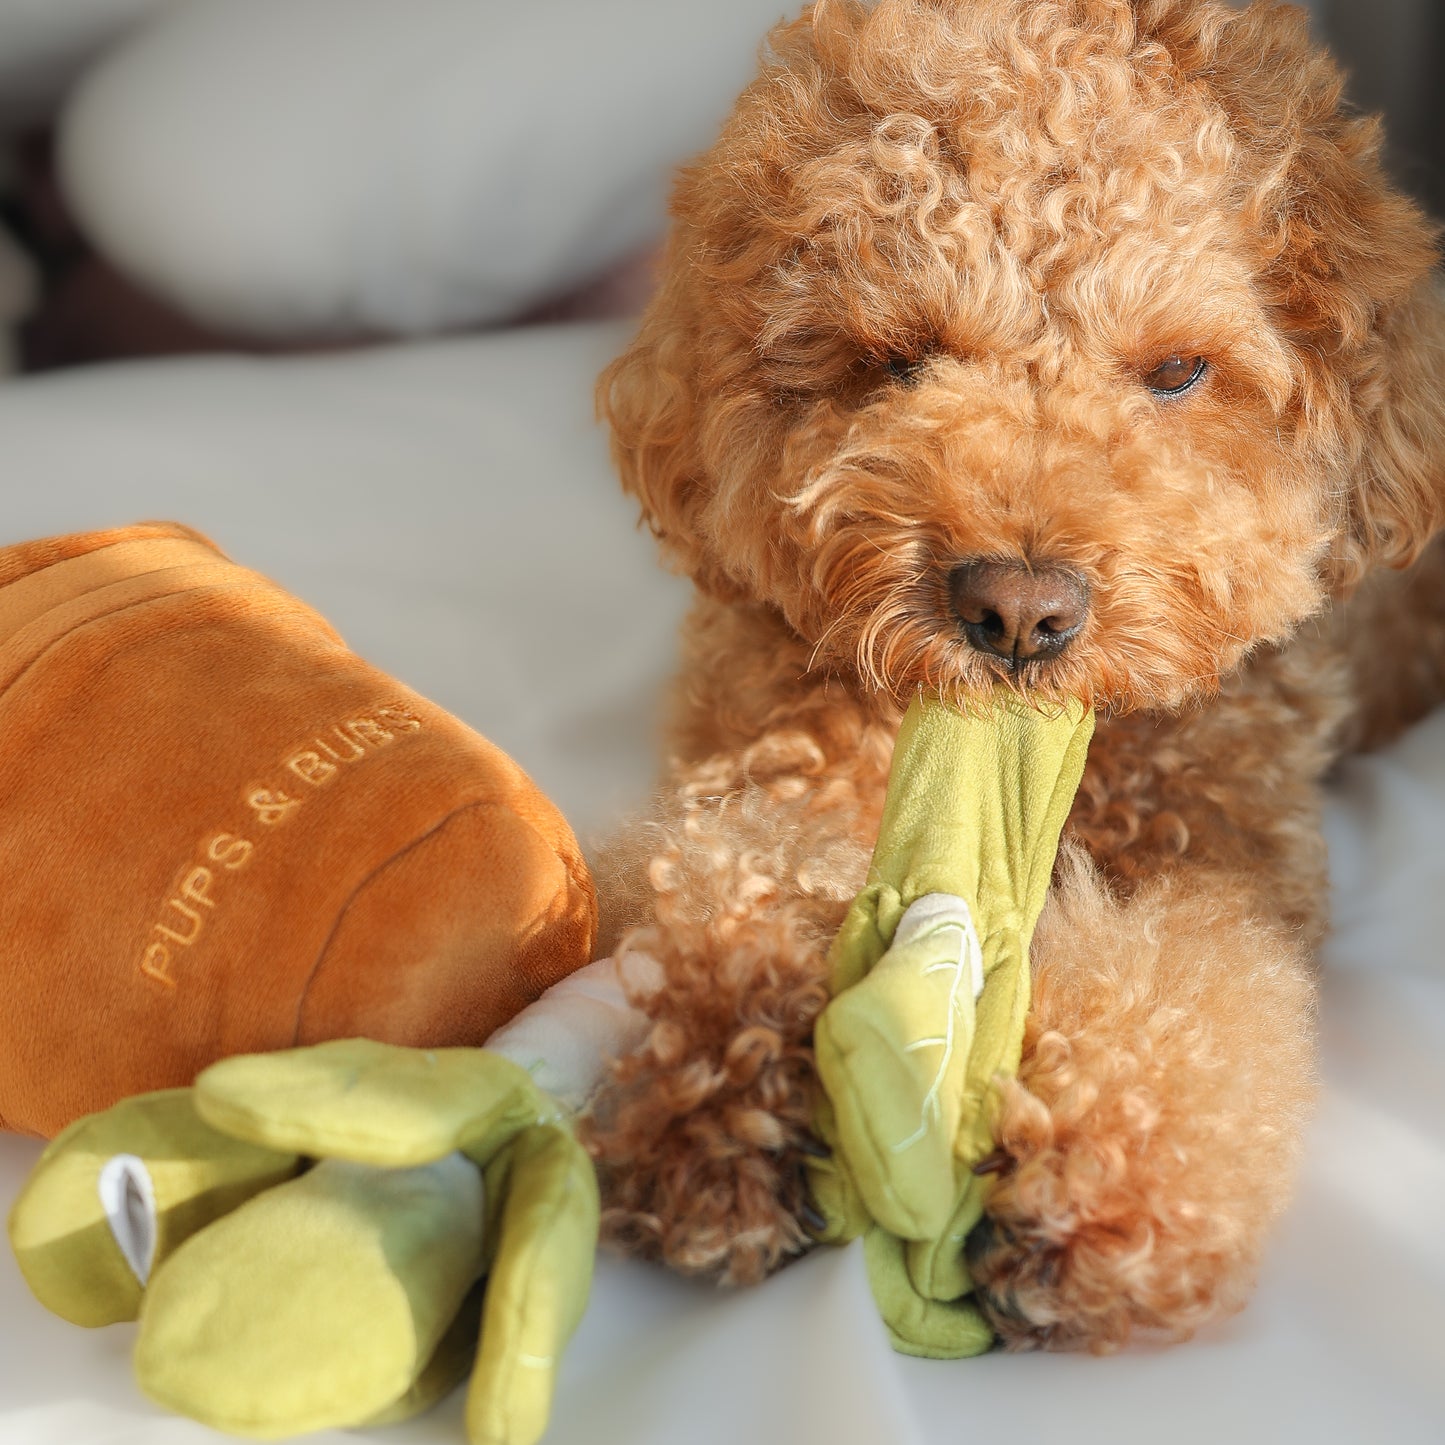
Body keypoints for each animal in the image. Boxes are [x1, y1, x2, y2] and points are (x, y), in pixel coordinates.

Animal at [580, 2, 1439, 1352]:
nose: (1017, 612)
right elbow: (722, 872)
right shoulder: (753, 760)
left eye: (1178, 372)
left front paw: (1098, 1186)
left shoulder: (1228, 848)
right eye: (901, 359)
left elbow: (1206, 978)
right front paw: (721, 1091)